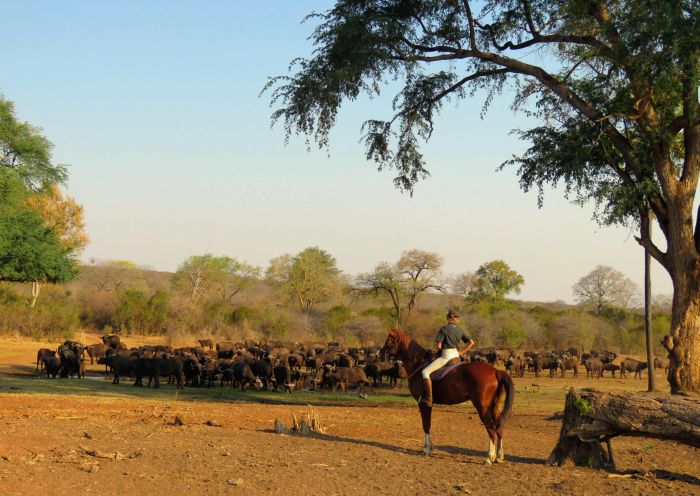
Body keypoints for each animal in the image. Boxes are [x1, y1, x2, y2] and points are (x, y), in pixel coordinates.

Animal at [382, 328, 516, 464]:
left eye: (389, 340)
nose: (380, 353)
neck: (418, 364)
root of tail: (495, 371)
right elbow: (427, 424)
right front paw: (428, 448)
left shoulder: (423, 403)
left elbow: (426, 424)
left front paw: (426, 449)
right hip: (494, 406)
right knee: (499, 427)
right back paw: (499, 456)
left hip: (482, 407)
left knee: (491, 428)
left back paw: (489, 457)